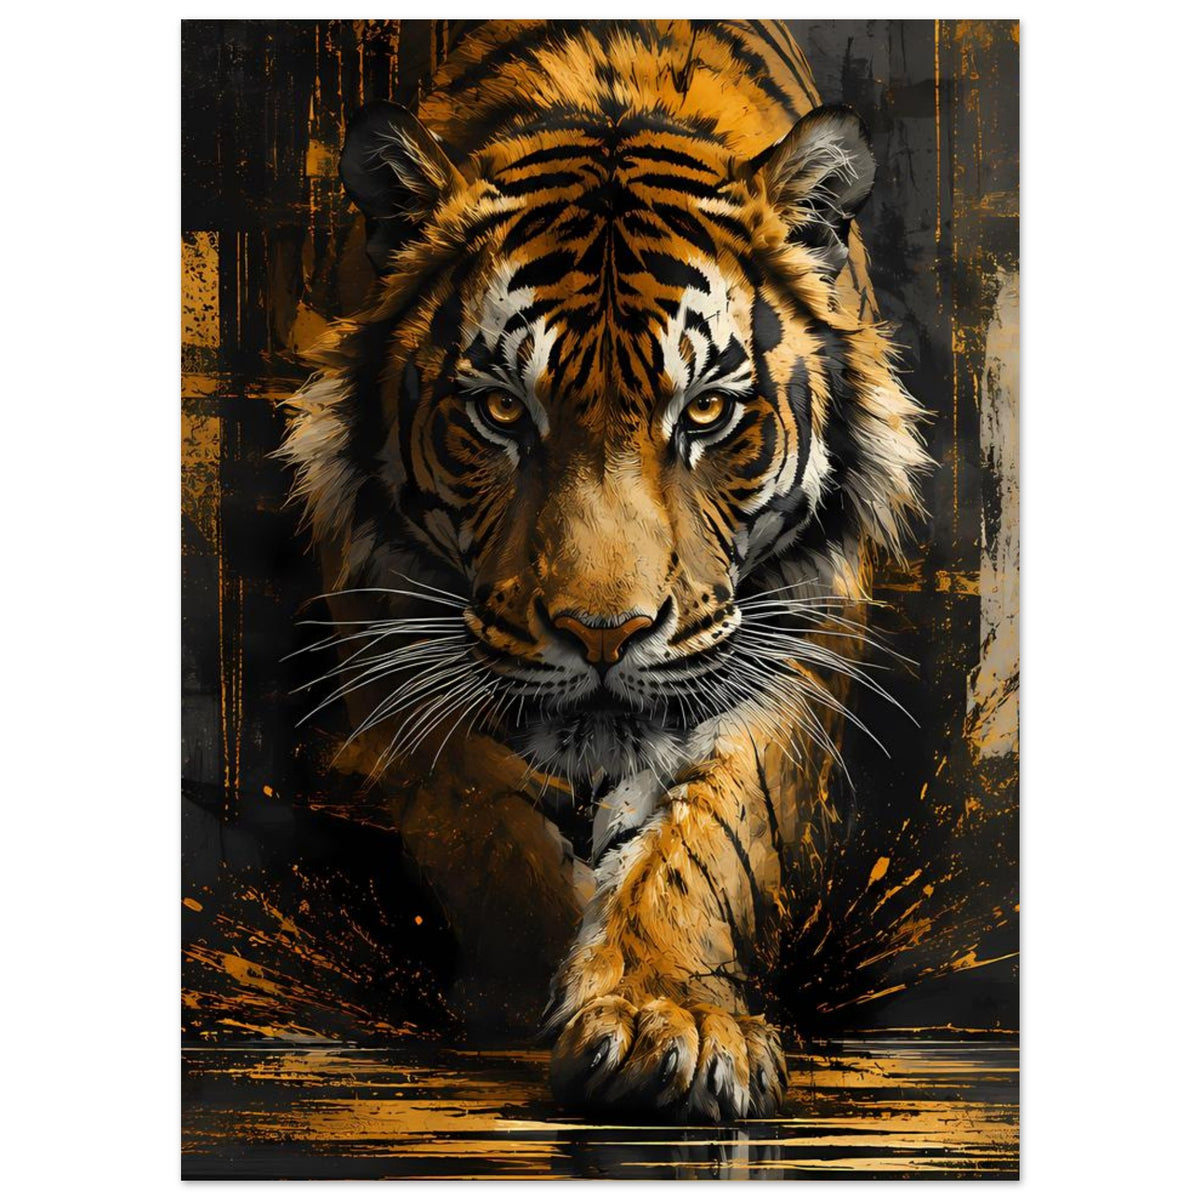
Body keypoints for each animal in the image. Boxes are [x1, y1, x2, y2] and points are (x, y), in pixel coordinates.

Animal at [279, 19, 930, 1122]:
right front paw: (522, 994)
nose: (602, 634)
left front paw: (667, 1025)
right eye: (502, 412)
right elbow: (483, 828)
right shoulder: (393, 628)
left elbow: (708, 840)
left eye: (704, 412)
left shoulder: (788, 642)